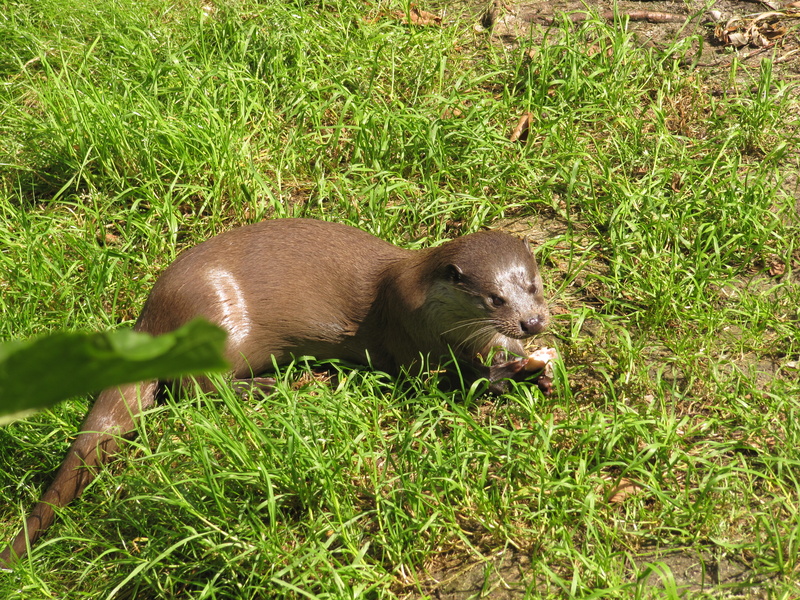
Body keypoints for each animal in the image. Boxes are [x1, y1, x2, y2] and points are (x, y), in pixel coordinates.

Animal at [0, 218, 548, 564]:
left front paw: (534, 366)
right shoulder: (410, 338)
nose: (533, 322)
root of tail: (152, 311)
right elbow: (445, 381)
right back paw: (267, 387)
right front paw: (514, 375)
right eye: (494, 298)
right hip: (218, 322)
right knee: (197, 388)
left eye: (534, 286)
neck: (430, 311)